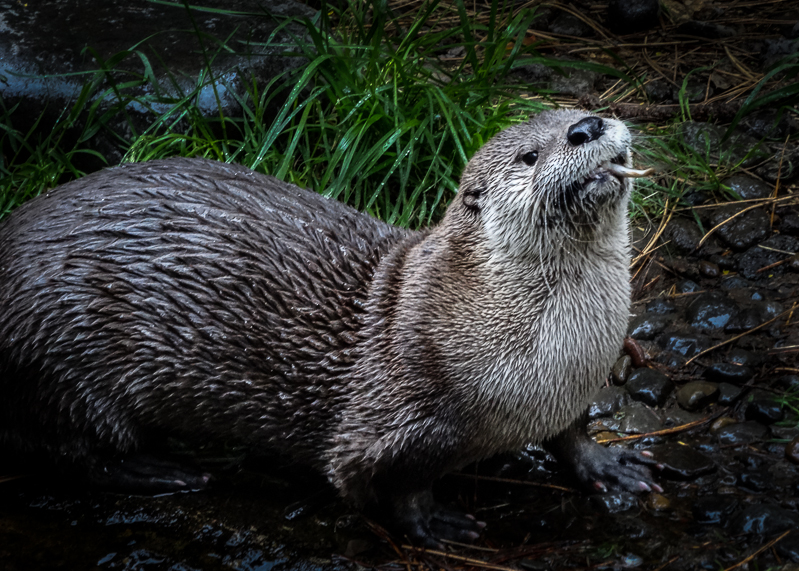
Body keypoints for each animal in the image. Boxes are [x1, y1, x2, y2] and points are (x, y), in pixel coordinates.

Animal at [1, 110, 656, 544]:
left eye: (581, 110)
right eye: (529, 156)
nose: (587, 128)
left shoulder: (572, 388)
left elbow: (572, 431)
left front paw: (607, 466)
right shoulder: (398, 421)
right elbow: (386, 483)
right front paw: (432, 520)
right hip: (54, 353)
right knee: (72, 450)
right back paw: (160, 470)